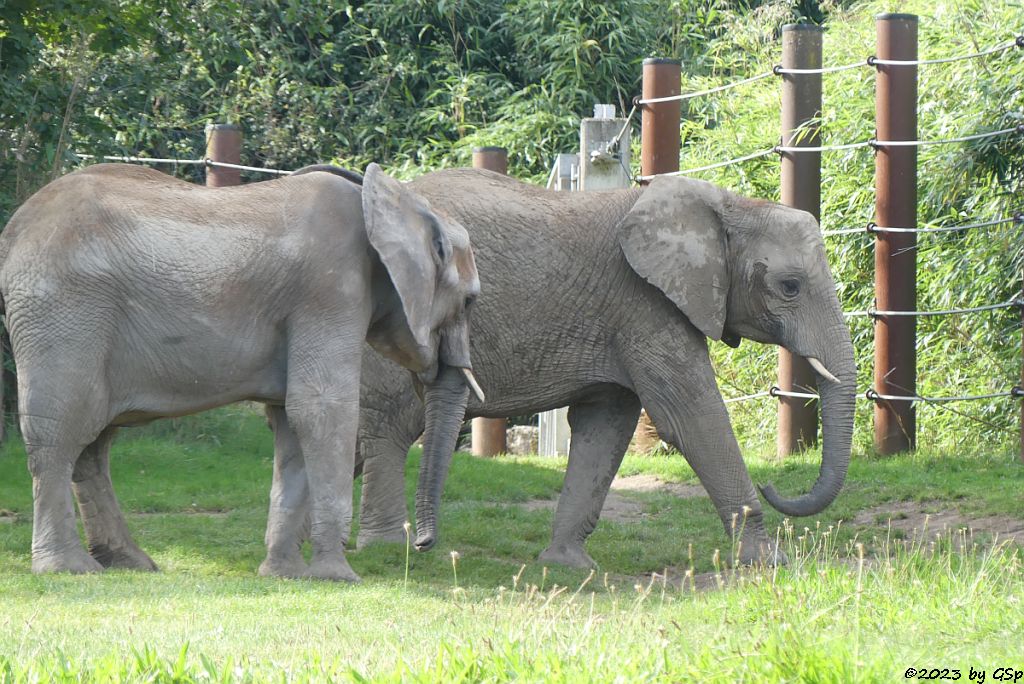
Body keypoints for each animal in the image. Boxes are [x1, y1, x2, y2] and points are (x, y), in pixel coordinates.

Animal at [0, 162, 485, 581]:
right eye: (470, 301)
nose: (422, 545)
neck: (396, 201)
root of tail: (14, 231)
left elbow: (292, 421)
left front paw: (286, 576)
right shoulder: (332, 289)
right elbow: (321, 410)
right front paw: (339, 577)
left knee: (94, 443)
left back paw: (128, 563)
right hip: (62, 312)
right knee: (62, 433)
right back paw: (68, 569)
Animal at [335, 167, 856, 569]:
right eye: (789, 286)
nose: (774, 485)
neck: (731, 205)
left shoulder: (622, 321)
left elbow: (604, 426)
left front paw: (567, 566)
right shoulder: (646, 306)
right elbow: (691, 417)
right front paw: (770, 563)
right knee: (388, 429)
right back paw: (386, 549)